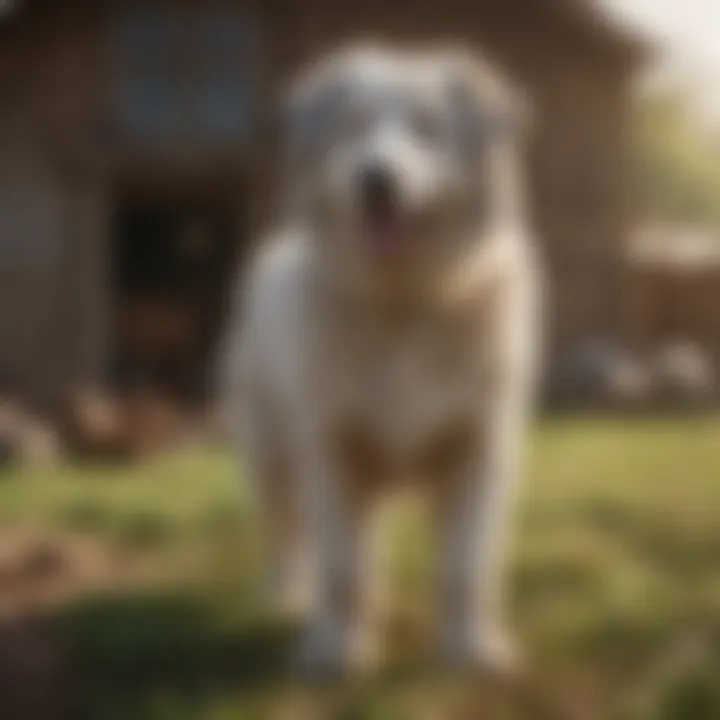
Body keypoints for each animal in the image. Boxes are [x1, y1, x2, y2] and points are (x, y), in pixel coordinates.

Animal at [222, 43, 544, 676]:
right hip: (271, 452)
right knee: (284, 531)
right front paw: (335, 650)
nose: (376, 179)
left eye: (427, 129)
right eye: (353, 126)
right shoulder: (332, 452)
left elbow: (464, 568)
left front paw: (469, 649)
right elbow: (343, 568)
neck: (403, 303)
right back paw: (286, 597)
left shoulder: (478, 452)